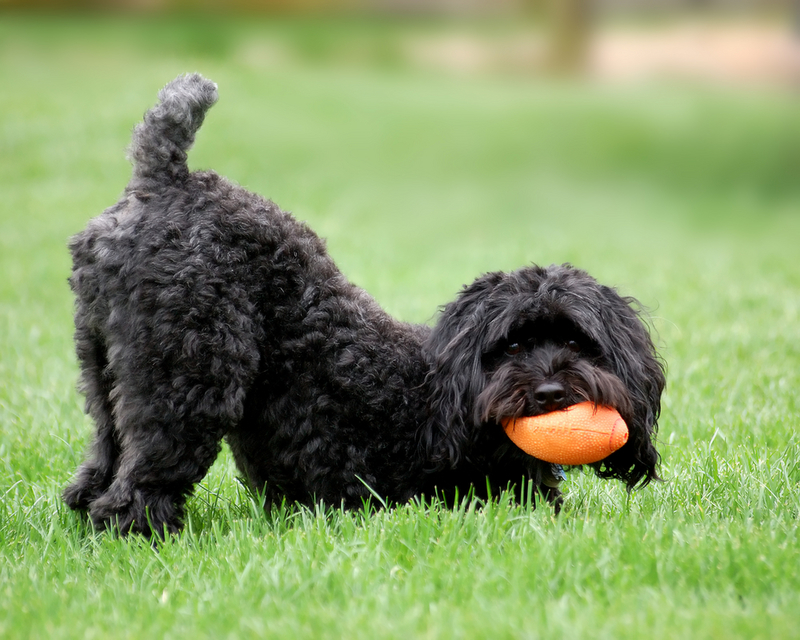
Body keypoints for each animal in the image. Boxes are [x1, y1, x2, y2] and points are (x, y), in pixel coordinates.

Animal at [62, 72, 664, 536]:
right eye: (512, 346)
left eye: (575, 341)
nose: (550, 394)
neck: (447, 393)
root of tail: (165, 182)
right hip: (189, 379)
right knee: (142, 479)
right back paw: (141, 532)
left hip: (104, 368)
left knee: (100, 461)